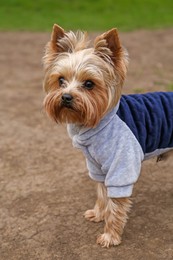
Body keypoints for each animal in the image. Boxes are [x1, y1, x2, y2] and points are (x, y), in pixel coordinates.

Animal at [42, 24, 173, 248]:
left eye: (89, 84)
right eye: (61, 80)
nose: (66, 97)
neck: (95, 123)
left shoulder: (121, 166)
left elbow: (116, 205)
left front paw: (110, 236)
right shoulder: (98, 166)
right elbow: (102, 193)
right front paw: (98, 214)